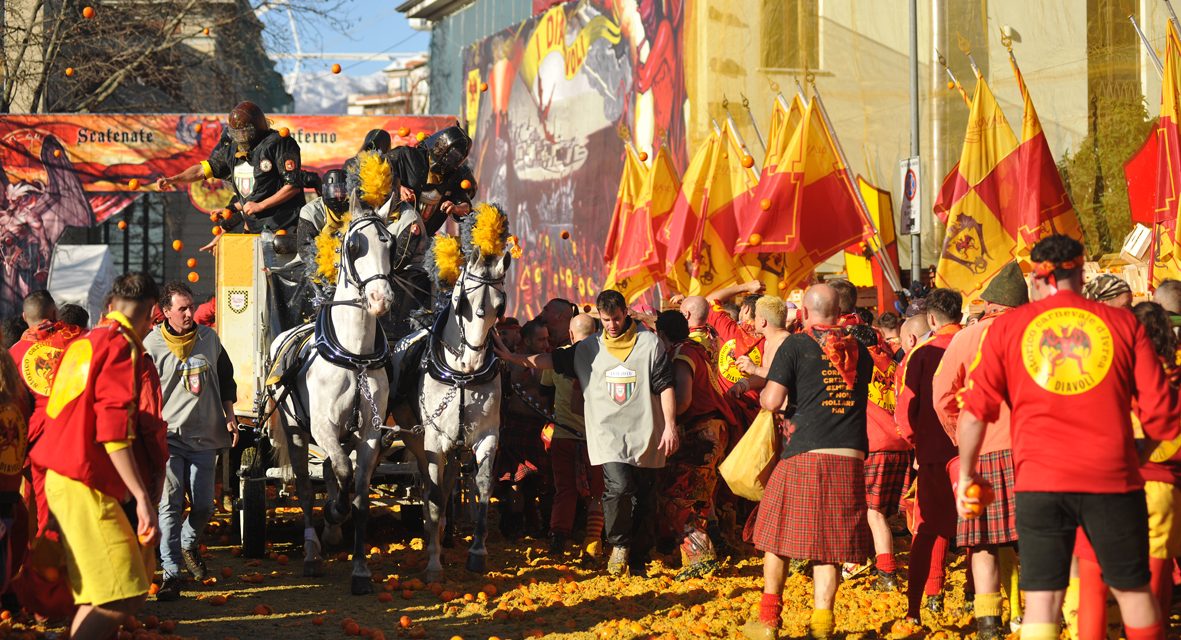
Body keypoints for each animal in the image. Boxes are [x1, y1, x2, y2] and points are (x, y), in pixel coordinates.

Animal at [269, 210, 394, 597]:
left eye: (389, 243)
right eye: (353, 247)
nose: (381, 298)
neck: (354, 356)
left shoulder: (369, 433)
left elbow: (360, 494)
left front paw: (361, 570)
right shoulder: (323, 426)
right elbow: (341, 472)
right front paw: (335, 512)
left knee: (327, 469)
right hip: (296, 431)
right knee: (306, 488)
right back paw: (312, 551)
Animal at [401, 212, 507, 588]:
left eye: (500, 308)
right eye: (463, 303)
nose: (474, 358)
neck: (460, 375)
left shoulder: (487, 437)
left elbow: (484, 488)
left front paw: (477, 552)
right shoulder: (434, 441)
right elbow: (433, 497)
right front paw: (433, 564)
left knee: (447, 487)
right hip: (418, 441)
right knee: (430, 489)